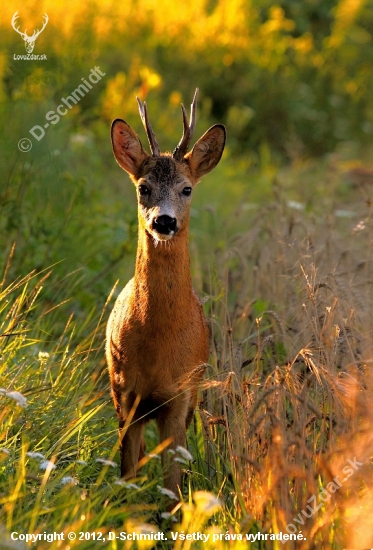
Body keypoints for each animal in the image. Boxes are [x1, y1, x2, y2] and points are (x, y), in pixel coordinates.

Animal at [106, 90, 225, 500]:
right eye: (143, 187)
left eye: (187, 189)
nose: (164, 220)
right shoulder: (126, 393)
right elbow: (128, 471)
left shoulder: (180, 396)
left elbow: (173, 483)